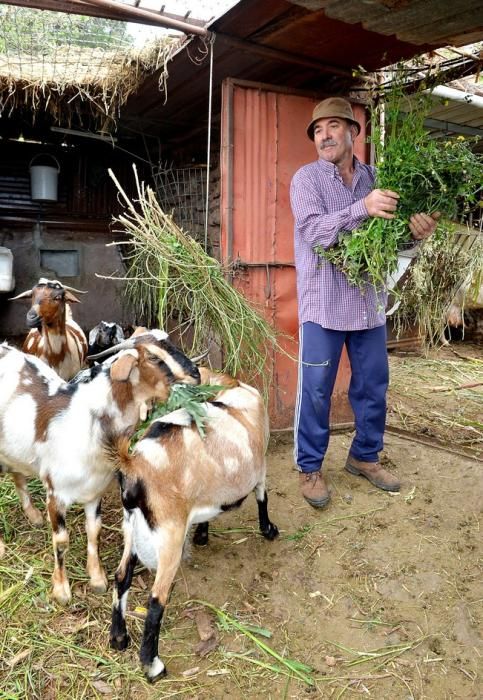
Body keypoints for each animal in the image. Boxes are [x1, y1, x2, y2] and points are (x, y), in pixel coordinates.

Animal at [0, 332, 200, 600]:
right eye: (153, 357)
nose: (196, 374)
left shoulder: (95, 490)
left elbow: (94, 530)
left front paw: (96, 577)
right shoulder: (55, 493)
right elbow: (61, 541)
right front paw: (61, 590)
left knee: (18, 474)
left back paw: (33, 515)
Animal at [108, 370, 278, 680]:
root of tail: (135, 465)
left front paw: (201, 535)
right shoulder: (260, 469)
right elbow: (263, 496)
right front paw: (269, 530)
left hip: (131, 527)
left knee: (121, 575)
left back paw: (118, 638)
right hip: (169, 534)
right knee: (155, 600)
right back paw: (153, 665)